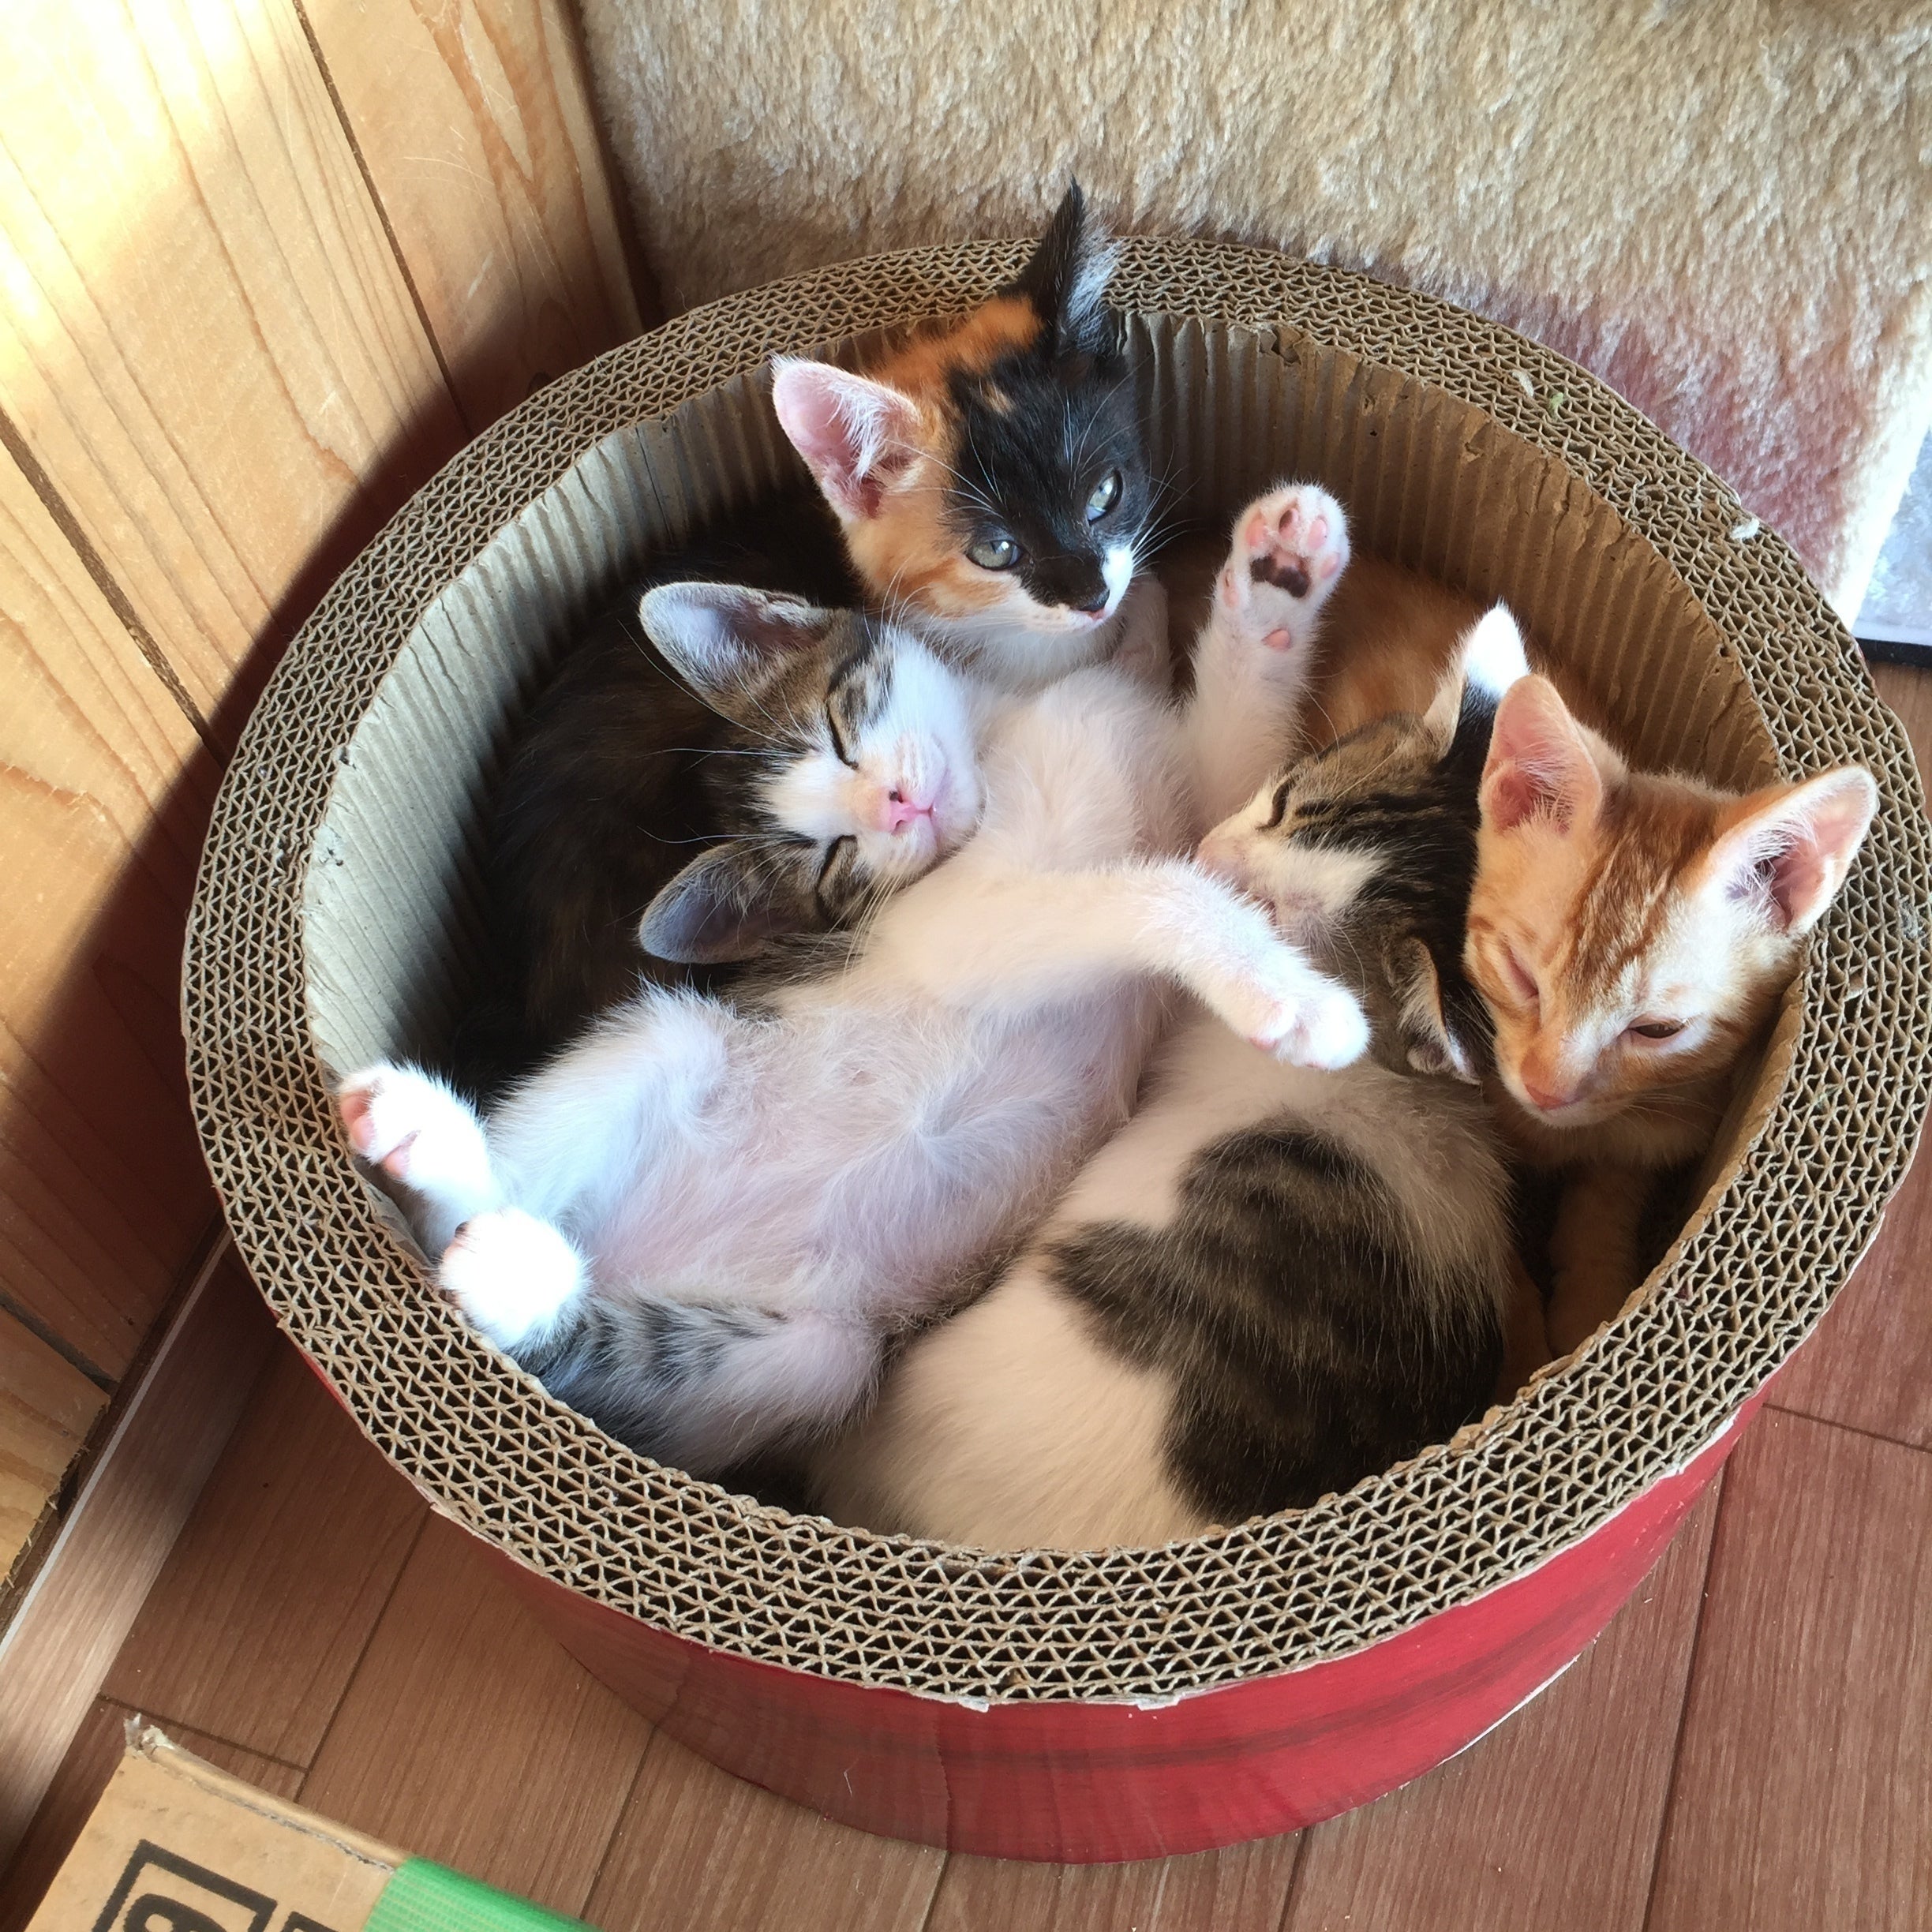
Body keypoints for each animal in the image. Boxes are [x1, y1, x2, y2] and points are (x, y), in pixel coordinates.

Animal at [336, 486, 1366, 1480]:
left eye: (838, 730)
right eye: (832, 856)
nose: (899, 805)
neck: (998, 745)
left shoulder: (1191, 797)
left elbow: (1234, 760)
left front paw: (1276, 579)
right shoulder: (960, 930)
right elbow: (1155, 889)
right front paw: (1293, 997)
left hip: (812, 1357)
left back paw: (509, 1273)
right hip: (674, 1041)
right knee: (463, 1222)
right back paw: (438, 1153)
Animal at [1463, 671, 1877, 1353]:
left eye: (1657, 1031)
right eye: (1521, 976)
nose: (1545, 1091)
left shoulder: (1652, 1135)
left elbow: (1606, 1205)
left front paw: (1592, 1310)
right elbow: (1495, 1254)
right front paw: (1523, 1351)